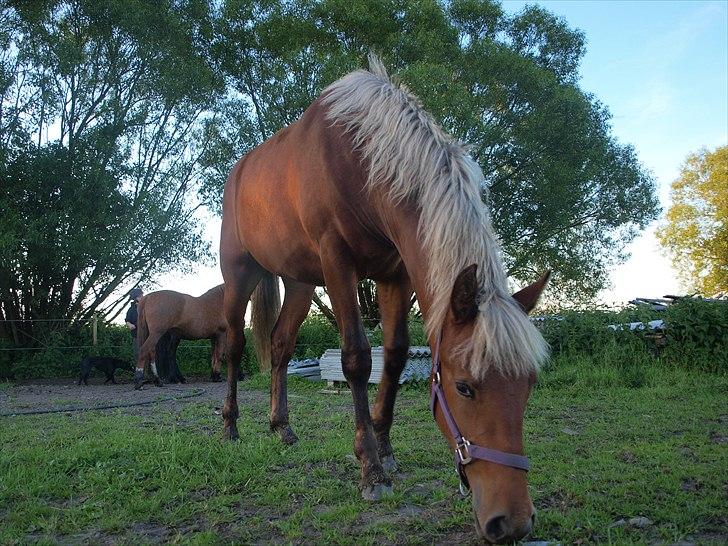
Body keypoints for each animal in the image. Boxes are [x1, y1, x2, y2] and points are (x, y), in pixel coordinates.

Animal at [219, 55, 548, 540]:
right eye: (464, 387)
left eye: (528, 385)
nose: (512, 523)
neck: (361, 157)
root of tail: (239, 174)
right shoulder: (339, 264)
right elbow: (357, 357)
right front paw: (371, 468)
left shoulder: (396, 274)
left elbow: (392, 357)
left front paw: (386, 447)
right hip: (239, 274)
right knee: (235, 345)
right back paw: (230, 427)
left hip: (300, 284)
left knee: (280, 346)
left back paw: (282, 428)